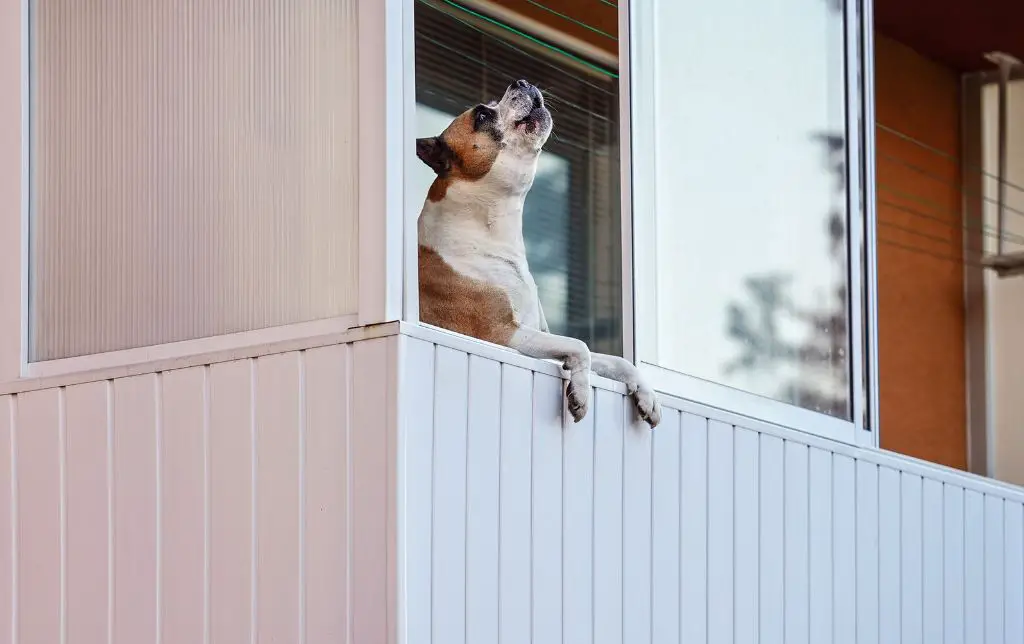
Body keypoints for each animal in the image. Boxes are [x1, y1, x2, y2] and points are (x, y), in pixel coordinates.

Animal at [413, 79, 659, 427]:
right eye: (482, 115)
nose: (522, 82)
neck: (488, 231)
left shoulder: (537, 333)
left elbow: (618, 361)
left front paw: (647, 396)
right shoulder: (503, 334)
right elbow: (580, 345)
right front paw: (580, 392)